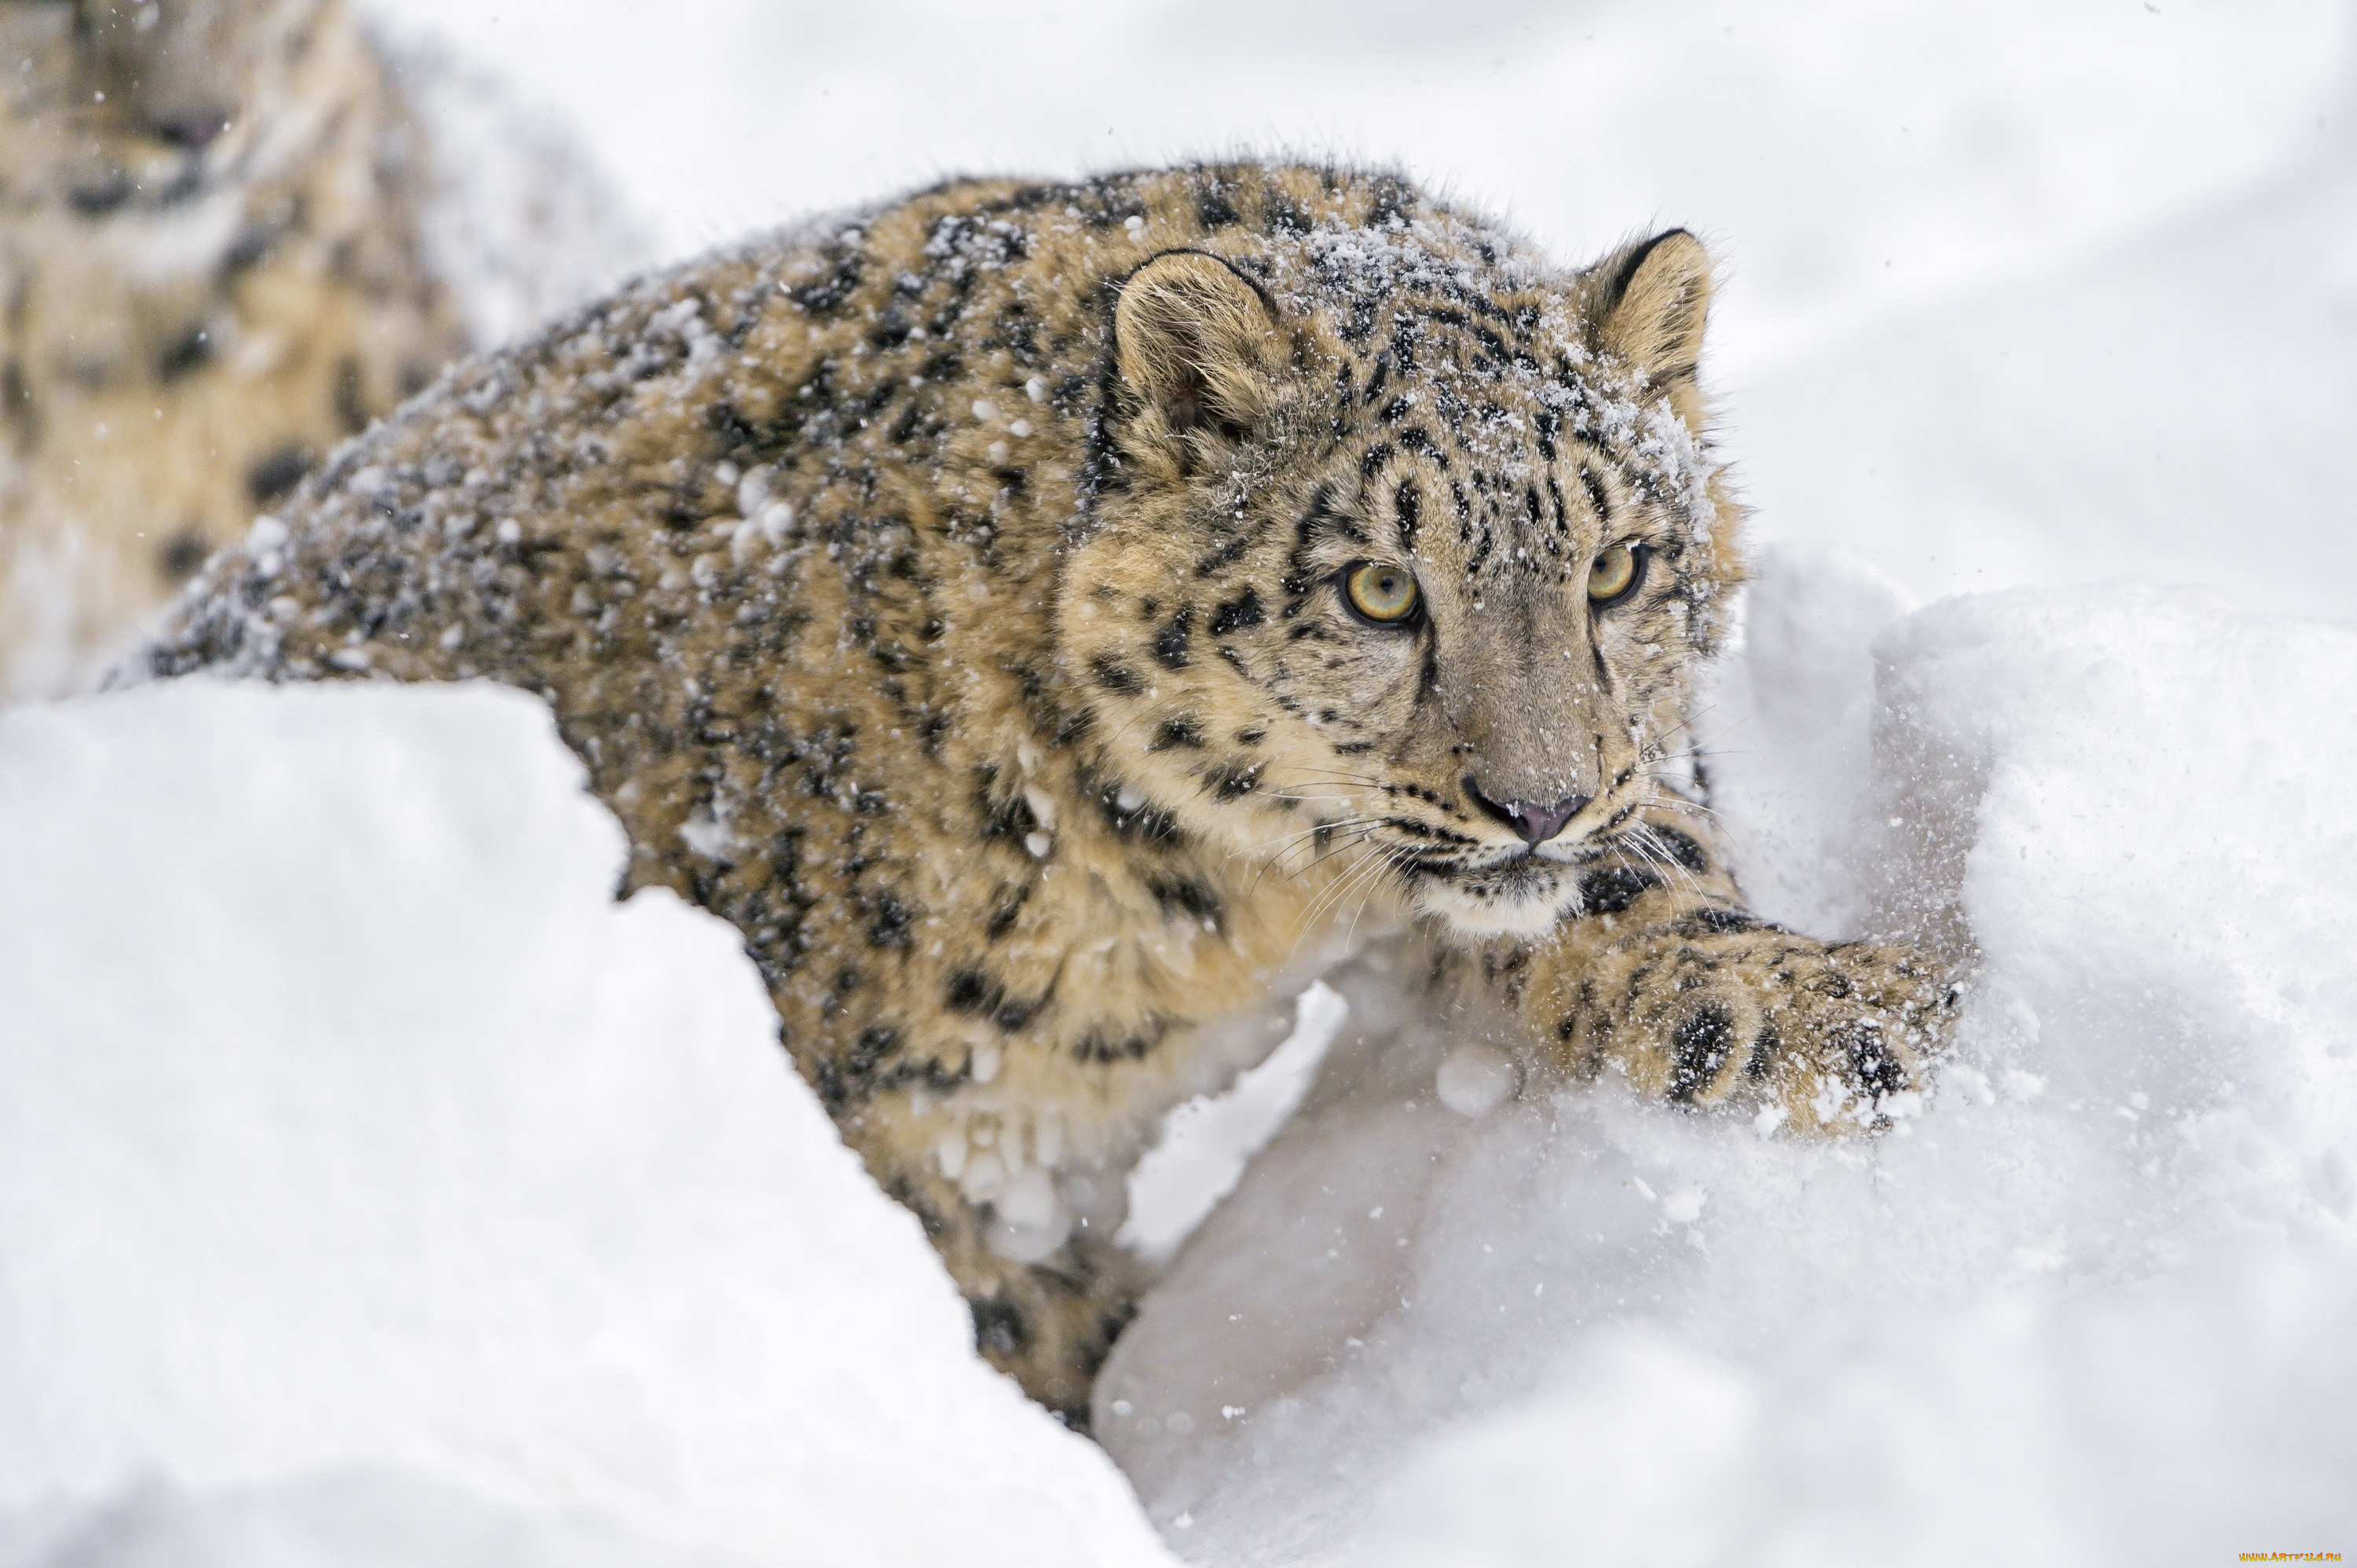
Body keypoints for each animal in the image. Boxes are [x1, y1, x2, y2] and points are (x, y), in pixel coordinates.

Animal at [137, 165, 1961, 1423]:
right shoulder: (934, 1138)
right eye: (1379, 589)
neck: (1228, 904)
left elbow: (1665, 915)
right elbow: (1013, 1335)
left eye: (1620, 566)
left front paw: (1861, 1011)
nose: (1539, 804)